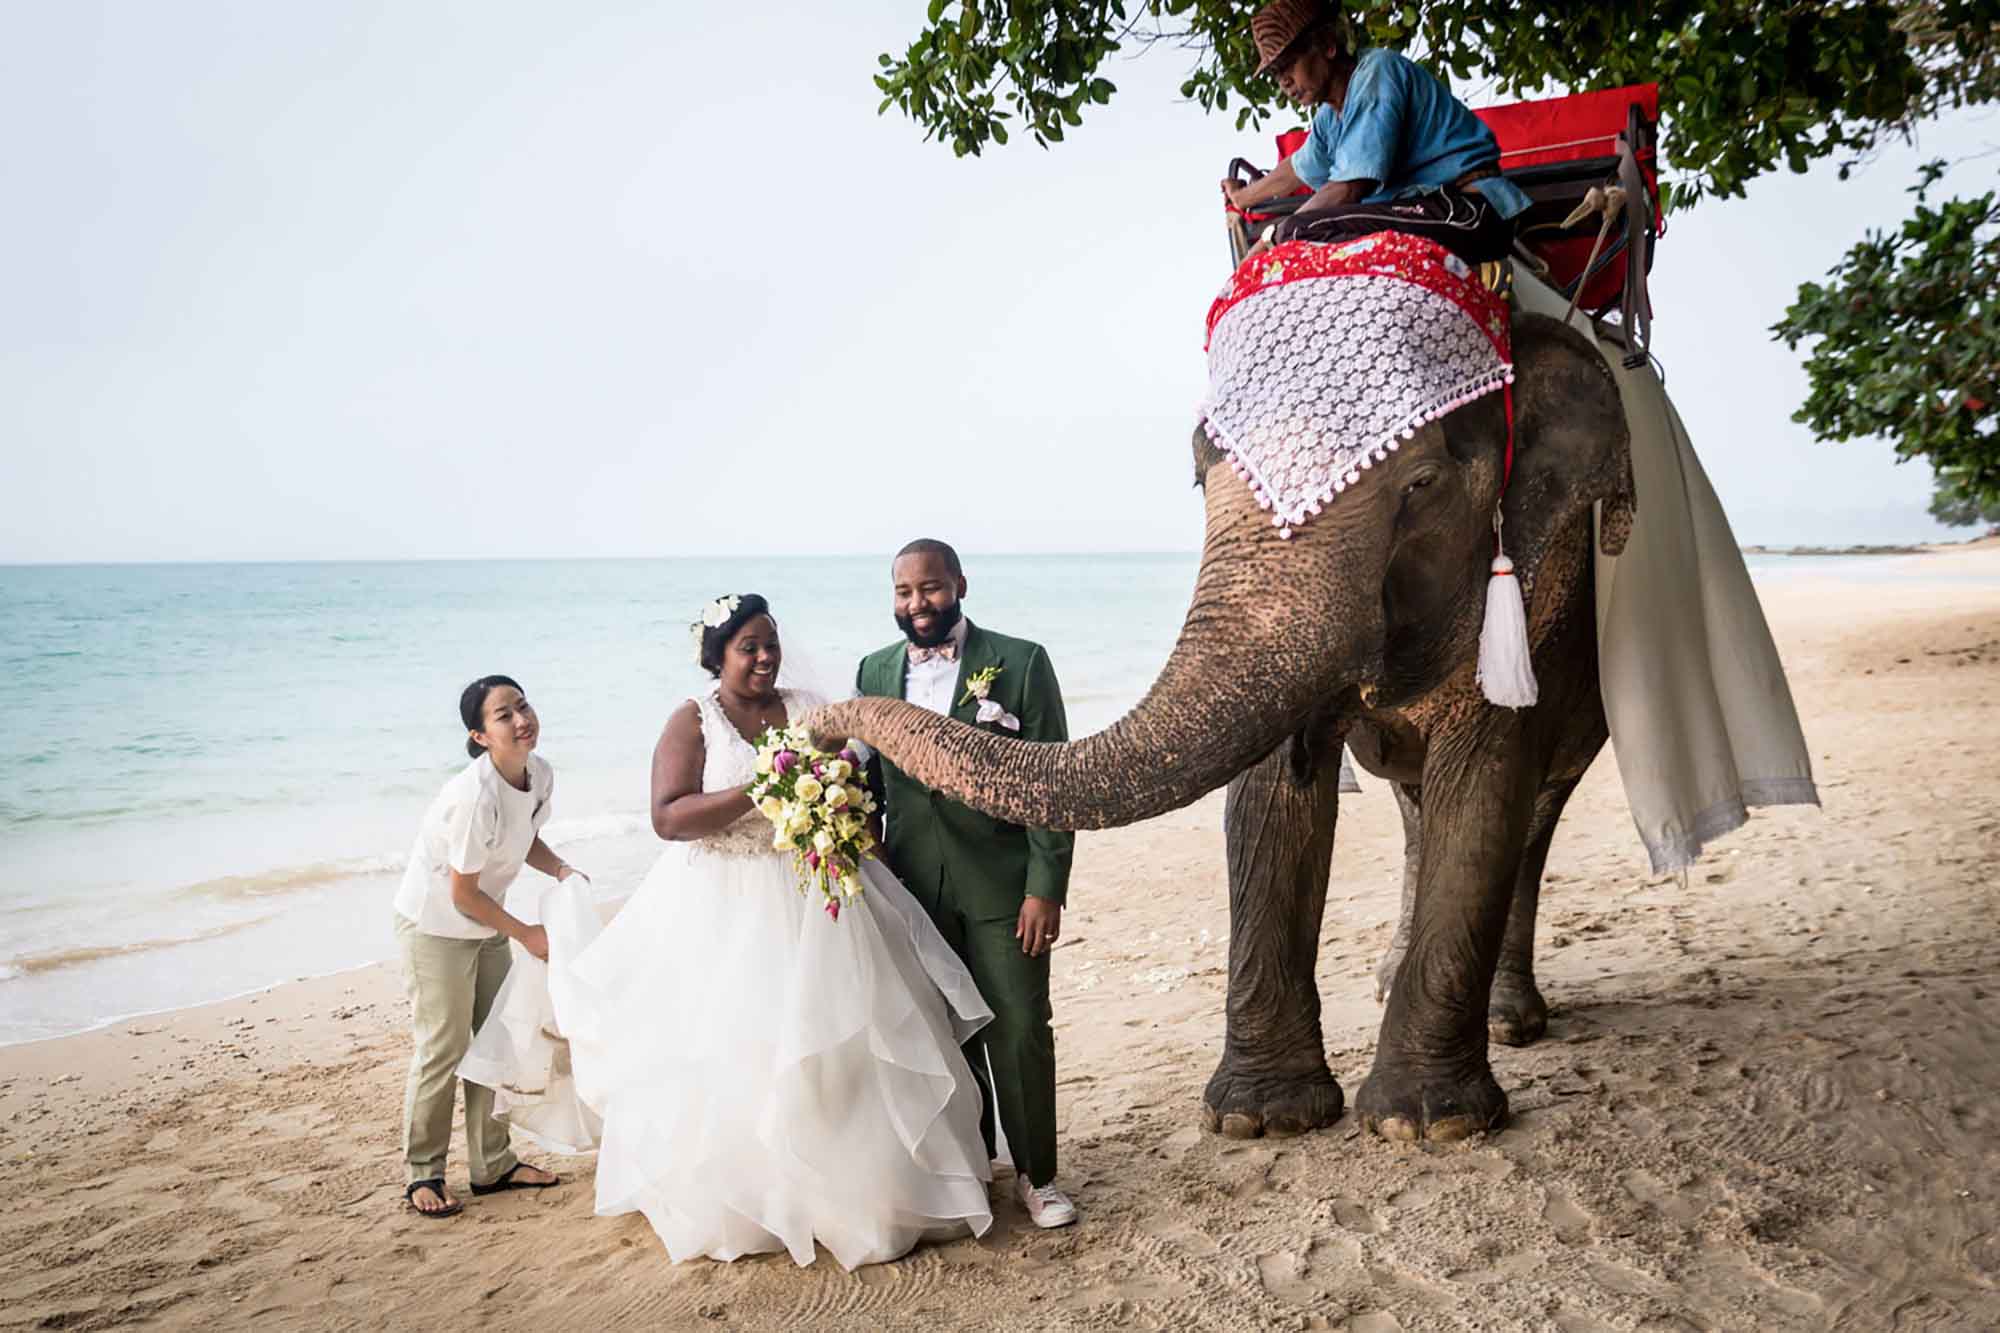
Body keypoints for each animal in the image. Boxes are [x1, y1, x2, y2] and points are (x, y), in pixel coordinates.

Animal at [811, 309, 1634, 1143]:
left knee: (1529, 818)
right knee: (1416, 811)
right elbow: (1269, 798)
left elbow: (1482, 790)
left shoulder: (1542, 592)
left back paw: (1505, 1021)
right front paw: (1260, 1117)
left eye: (1423, 484)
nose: (818, 724)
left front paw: (1426, 1123)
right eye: (1203, 477)